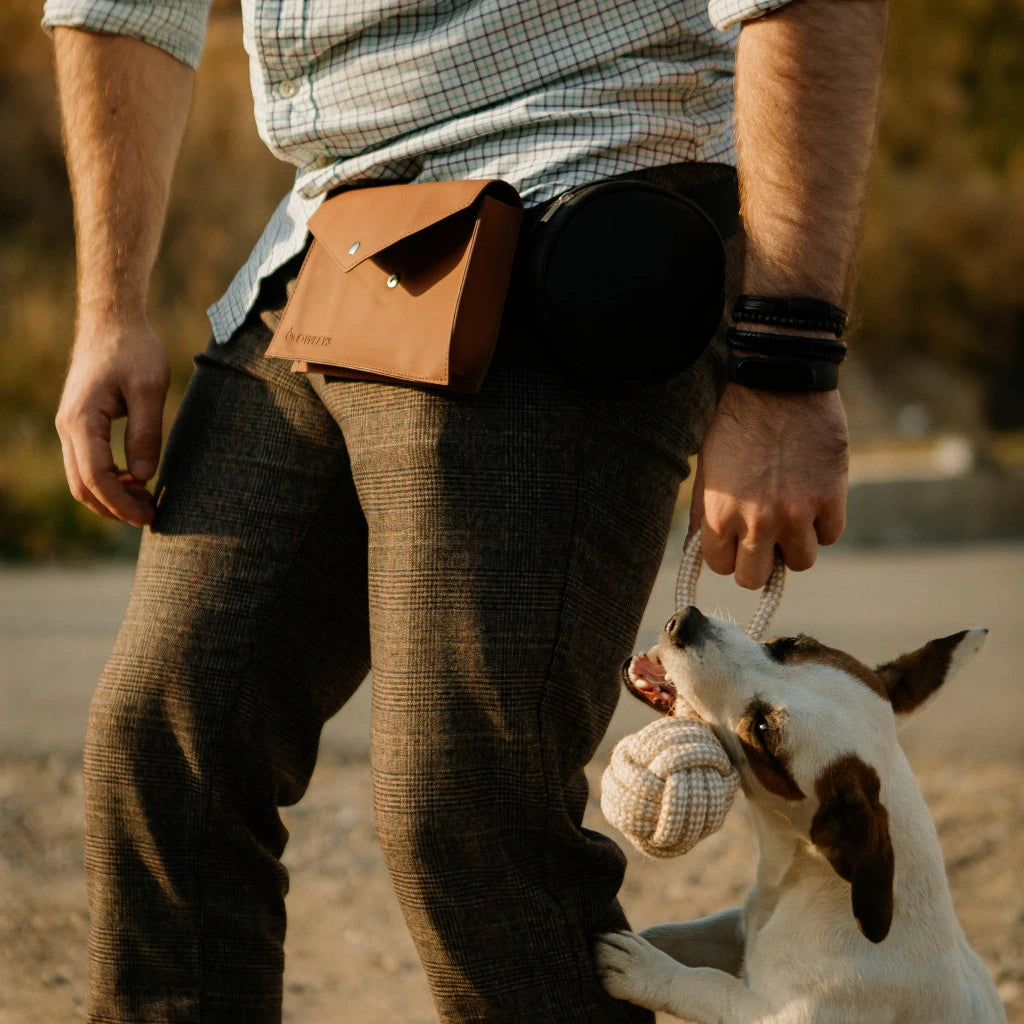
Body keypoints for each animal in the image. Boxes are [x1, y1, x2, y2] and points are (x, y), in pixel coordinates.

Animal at [598, 606, 1003, 1024]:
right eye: (791, 643)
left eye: (761, 729)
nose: (685, 622)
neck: (817, 872)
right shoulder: (741, 928)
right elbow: (675, 933)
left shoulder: (778, 1013)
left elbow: (708, 986)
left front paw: (647, 970)